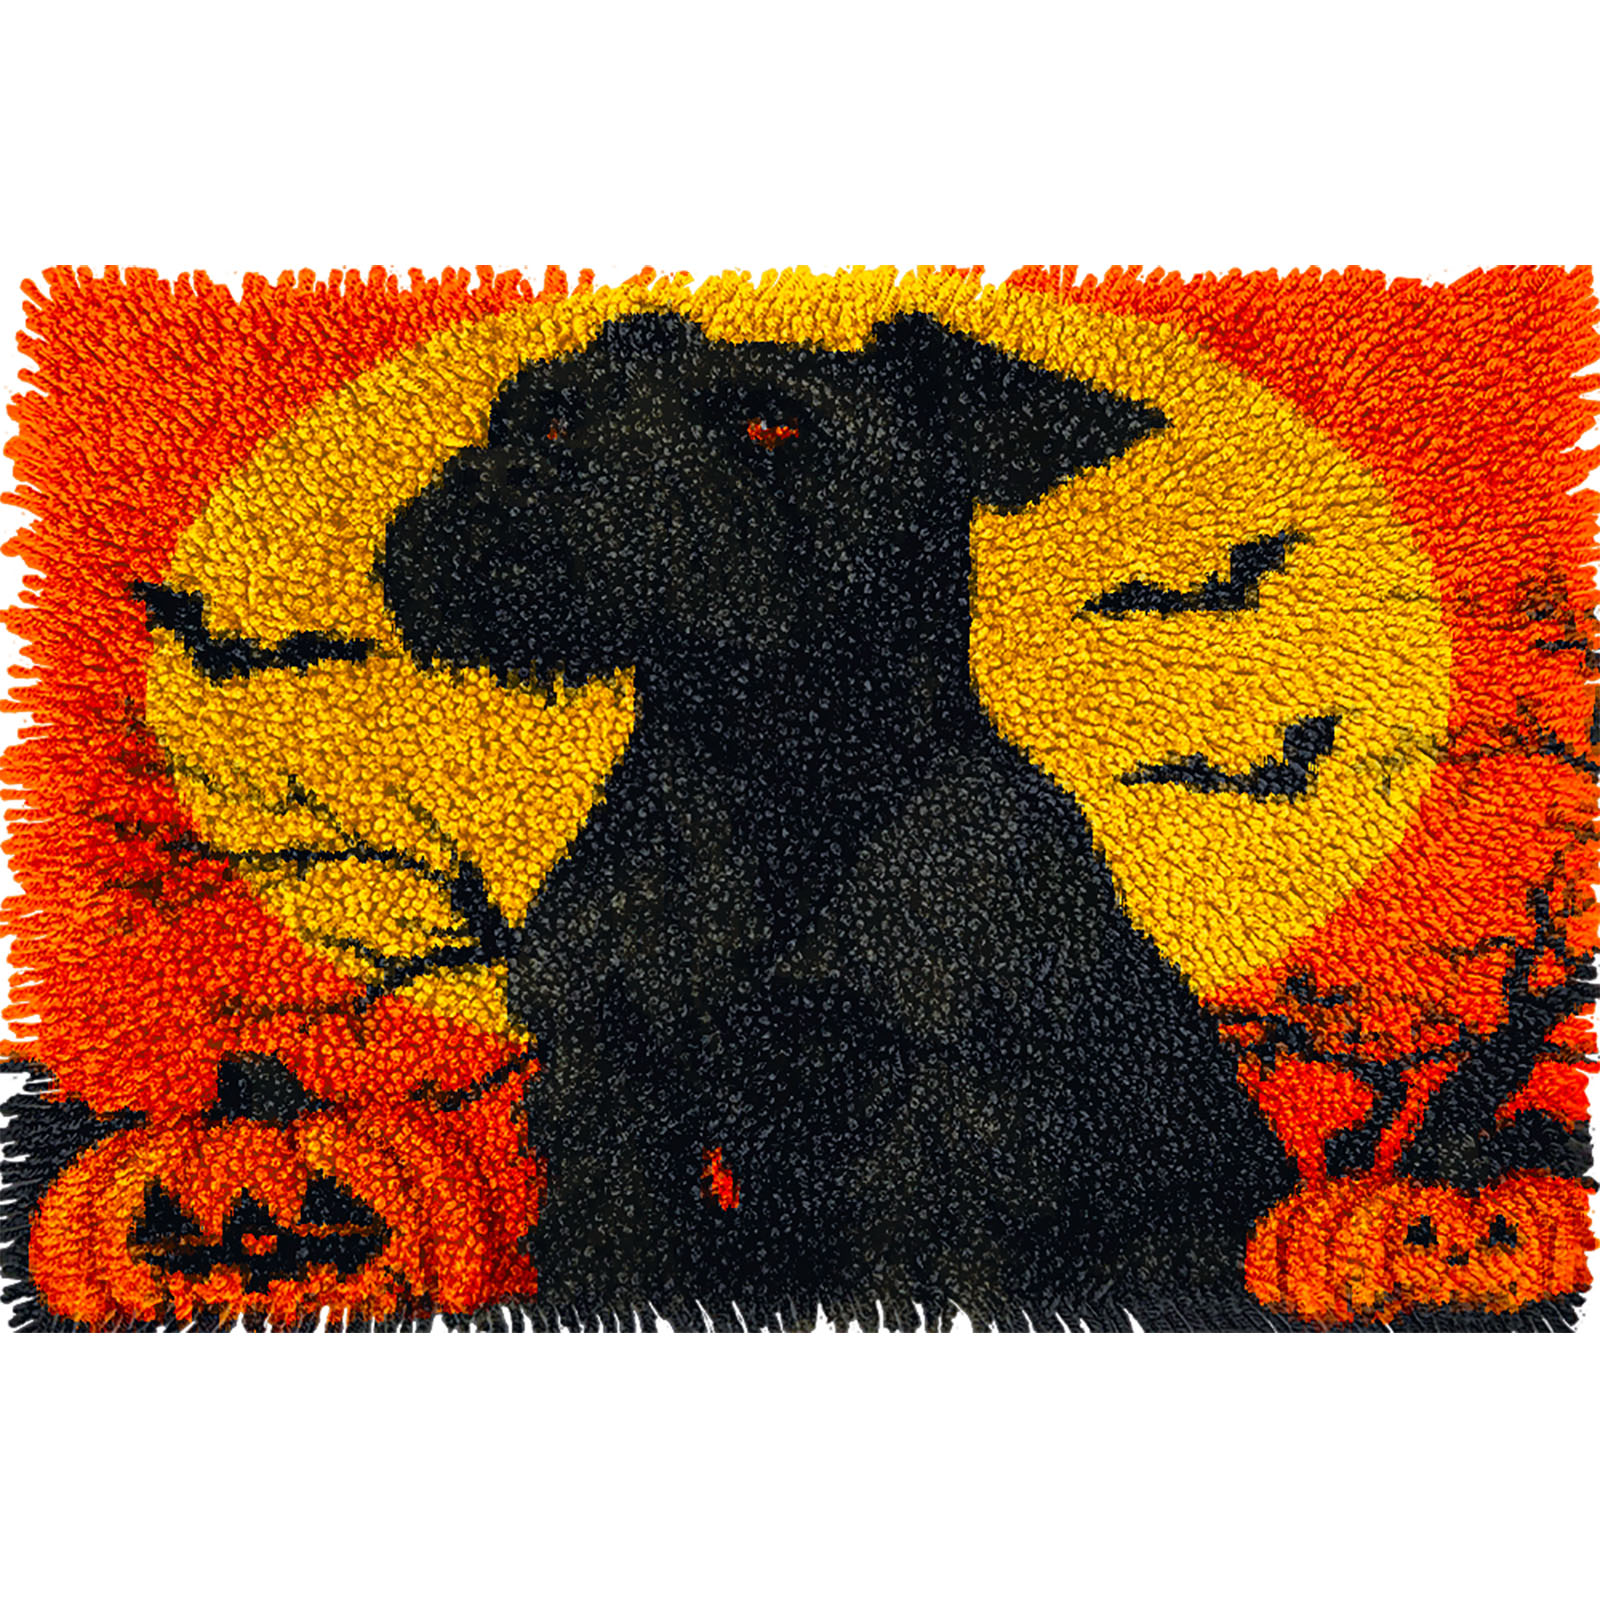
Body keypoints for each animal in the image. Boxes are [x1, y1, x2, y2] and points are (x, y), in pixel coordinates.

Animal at [379, 309, 1295, 1329]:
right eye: (544, 406)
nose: (521, 460)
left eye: (771, 422)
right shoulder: (610, 1077)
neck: (766, 782)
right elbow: (614, 1251)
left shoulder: (939, 1115)